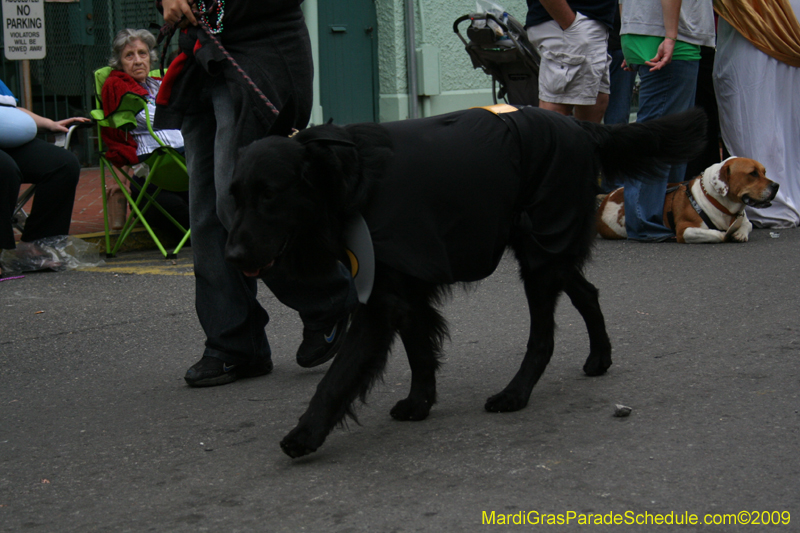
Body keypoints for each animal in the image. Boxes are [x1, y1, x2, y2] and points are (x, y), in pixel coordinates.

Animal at [225, 105, 708, 458]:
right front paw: (419, 404)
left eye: (269, 194)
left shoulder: (382, 299)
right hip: (546, 252)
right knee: (588, 293)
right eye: (236, 197)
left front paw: (305, 434)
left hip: (539, 253)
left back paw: (515, 394)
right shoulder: (408, 291)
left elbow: (339, 375)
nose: (231, 257)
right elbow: (420, 353)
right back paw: (599, 359)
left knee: (543, 337)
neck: (353, 176)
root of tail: (579, 126)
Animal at [596, 157, 780, 242]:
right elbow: (717, 234)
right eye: (752, 173)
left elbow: (747, 225)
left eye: (764, 172)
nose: (776, 185)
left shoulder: (743, 218)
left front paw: (740, 233)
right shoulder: (685, 230)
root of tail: (608, 197)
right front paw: (724, 234)